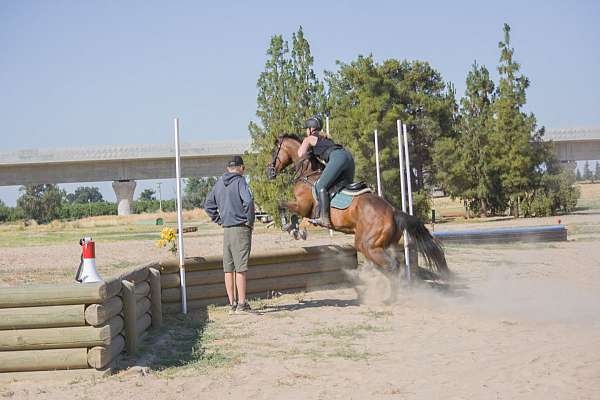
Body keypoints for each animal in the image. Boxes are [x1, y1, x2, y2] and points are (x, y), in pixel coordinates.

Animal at [266, 134, 446, 278]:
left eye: (274, 152)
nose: (269, 172)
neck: (308, 173)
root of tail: (394, 211)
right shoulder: (302, 208)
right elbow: (290, 212)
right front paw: (296, 229)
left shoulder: (302, 206)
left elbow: (281, 205)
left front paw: (290, 227)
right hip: (385, 245)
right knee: (397, 264)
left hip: (367, 244)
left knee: (392, 266)